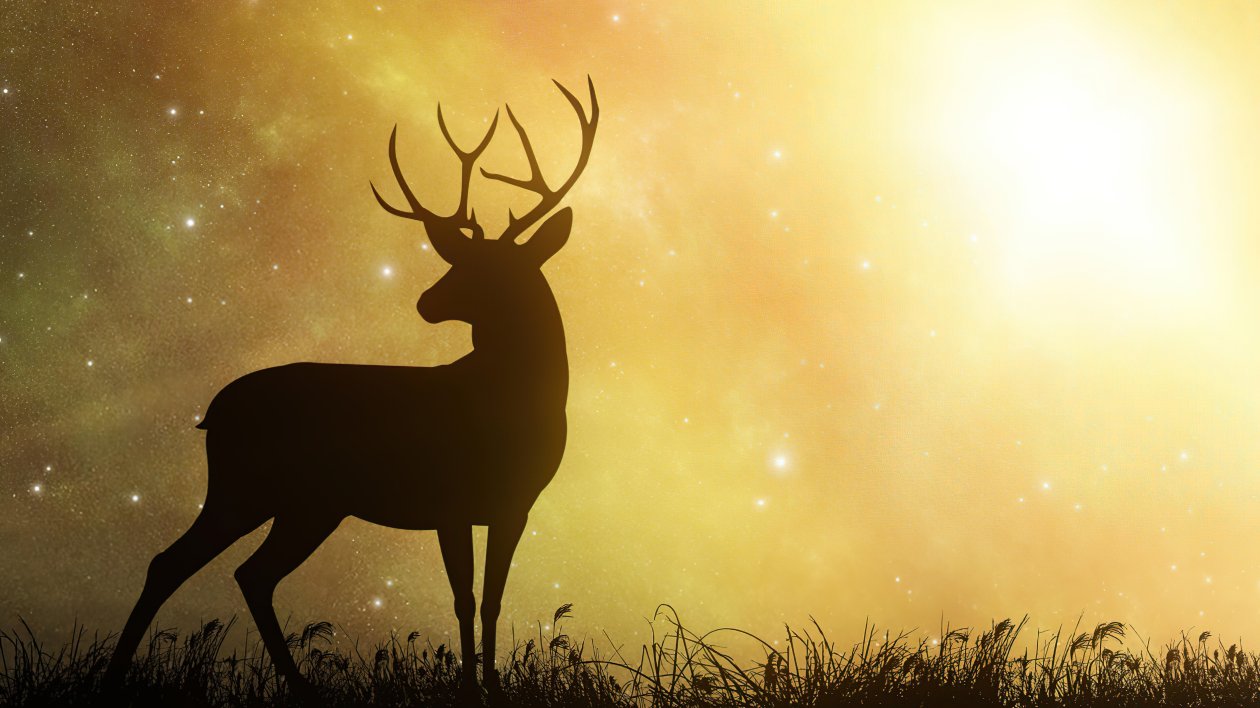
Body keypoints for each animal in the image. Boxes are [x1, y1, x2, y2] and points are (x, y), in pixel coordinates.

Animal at [103, 78, 598, 701]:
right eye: (458, 259)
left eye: (490, 268)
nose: (425, 302)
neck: (510, 400)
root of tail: (212, 412)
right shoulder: (451, 500)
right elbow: (463, 599)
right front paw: (468, 689)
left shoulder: (514, 506)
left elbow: (491, 600)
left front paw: (493, 689)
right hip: (250, 487)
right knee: (178, 563)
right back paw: (117, 679)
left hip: (306, 503)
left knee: (247, 572)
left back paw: (296, 686)